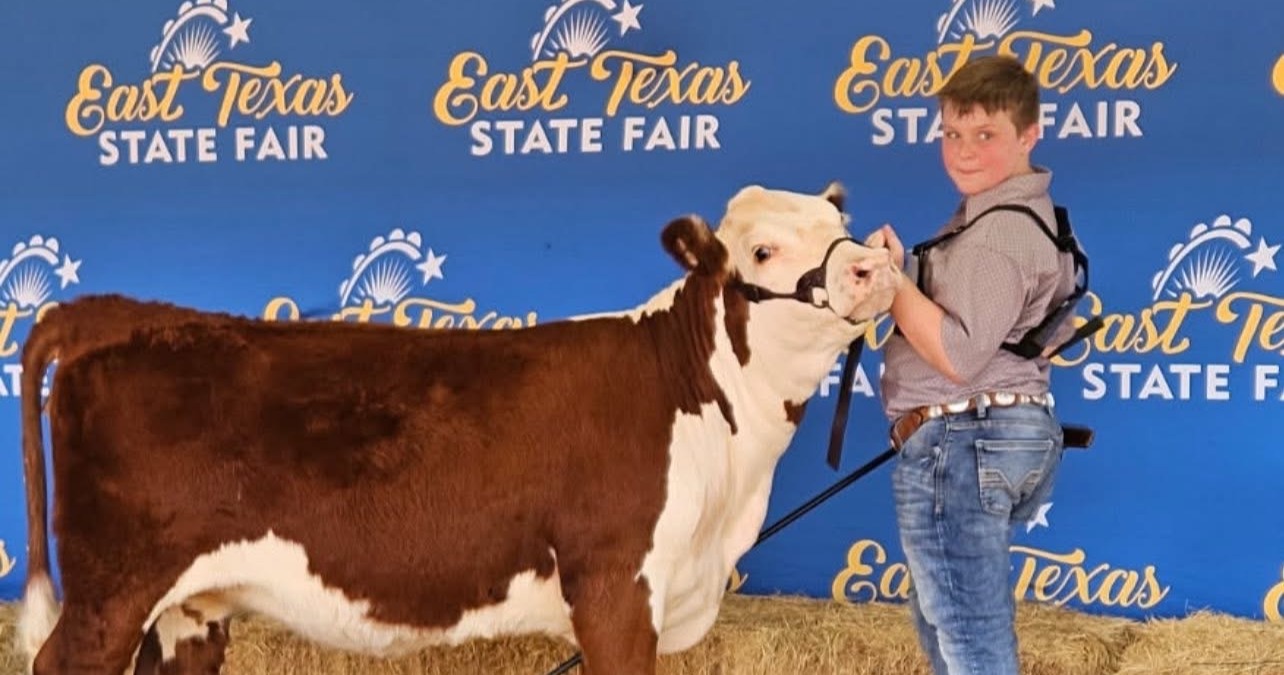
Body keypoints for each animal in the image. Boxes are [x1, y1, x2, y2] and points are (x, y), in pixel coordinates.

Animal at [17, 181, 899, 675]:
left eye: (839, 223)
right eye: (763, 249)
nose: (872, 264)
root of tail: (109, 312)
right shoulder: (614, 582)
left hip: (189, 605)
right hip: (111, 587)